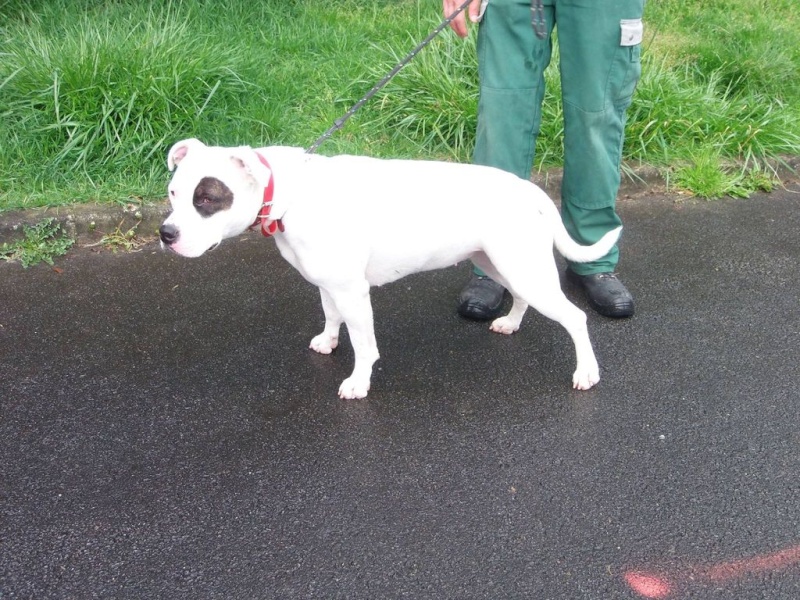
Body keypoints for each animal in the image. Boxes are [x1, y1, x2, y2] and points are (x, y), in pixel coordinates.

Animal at [158, 138, 620, 396]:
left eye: (207, 199)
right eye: (173, 192)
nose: (166, 233)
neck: (288, 192)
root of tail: (530, 189)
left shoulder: (353, 292)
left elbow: (365, 345)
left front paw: (358, 383)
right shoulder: (330, 285)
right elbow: (330, 316)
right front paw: (328, 341)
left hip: (523, 267)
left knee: (575, 319)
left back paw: (587, 372)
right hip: (500, 262)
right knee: (521, 296)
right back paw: (511, 322)